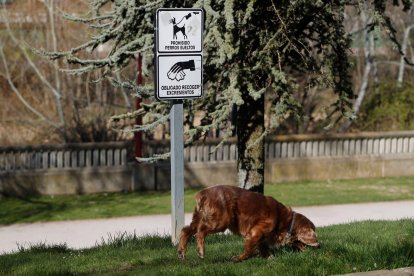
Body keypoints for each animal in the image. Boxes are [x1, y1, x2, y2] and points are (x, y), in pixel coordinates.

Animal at [176, 185, 318, 260]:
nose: (319, 247)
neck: (285, 220)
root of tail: (203, 193)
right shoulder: (256, 232)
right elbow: (249, 249)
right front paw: (239, 259)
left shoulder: (260, 236)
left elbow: (263, 248)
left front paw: (269, 258)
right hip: (220, 221)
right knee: (200, 232)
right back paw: (201, 252)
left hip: (199, 218)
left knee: (185, 230)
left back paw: (181, 252)